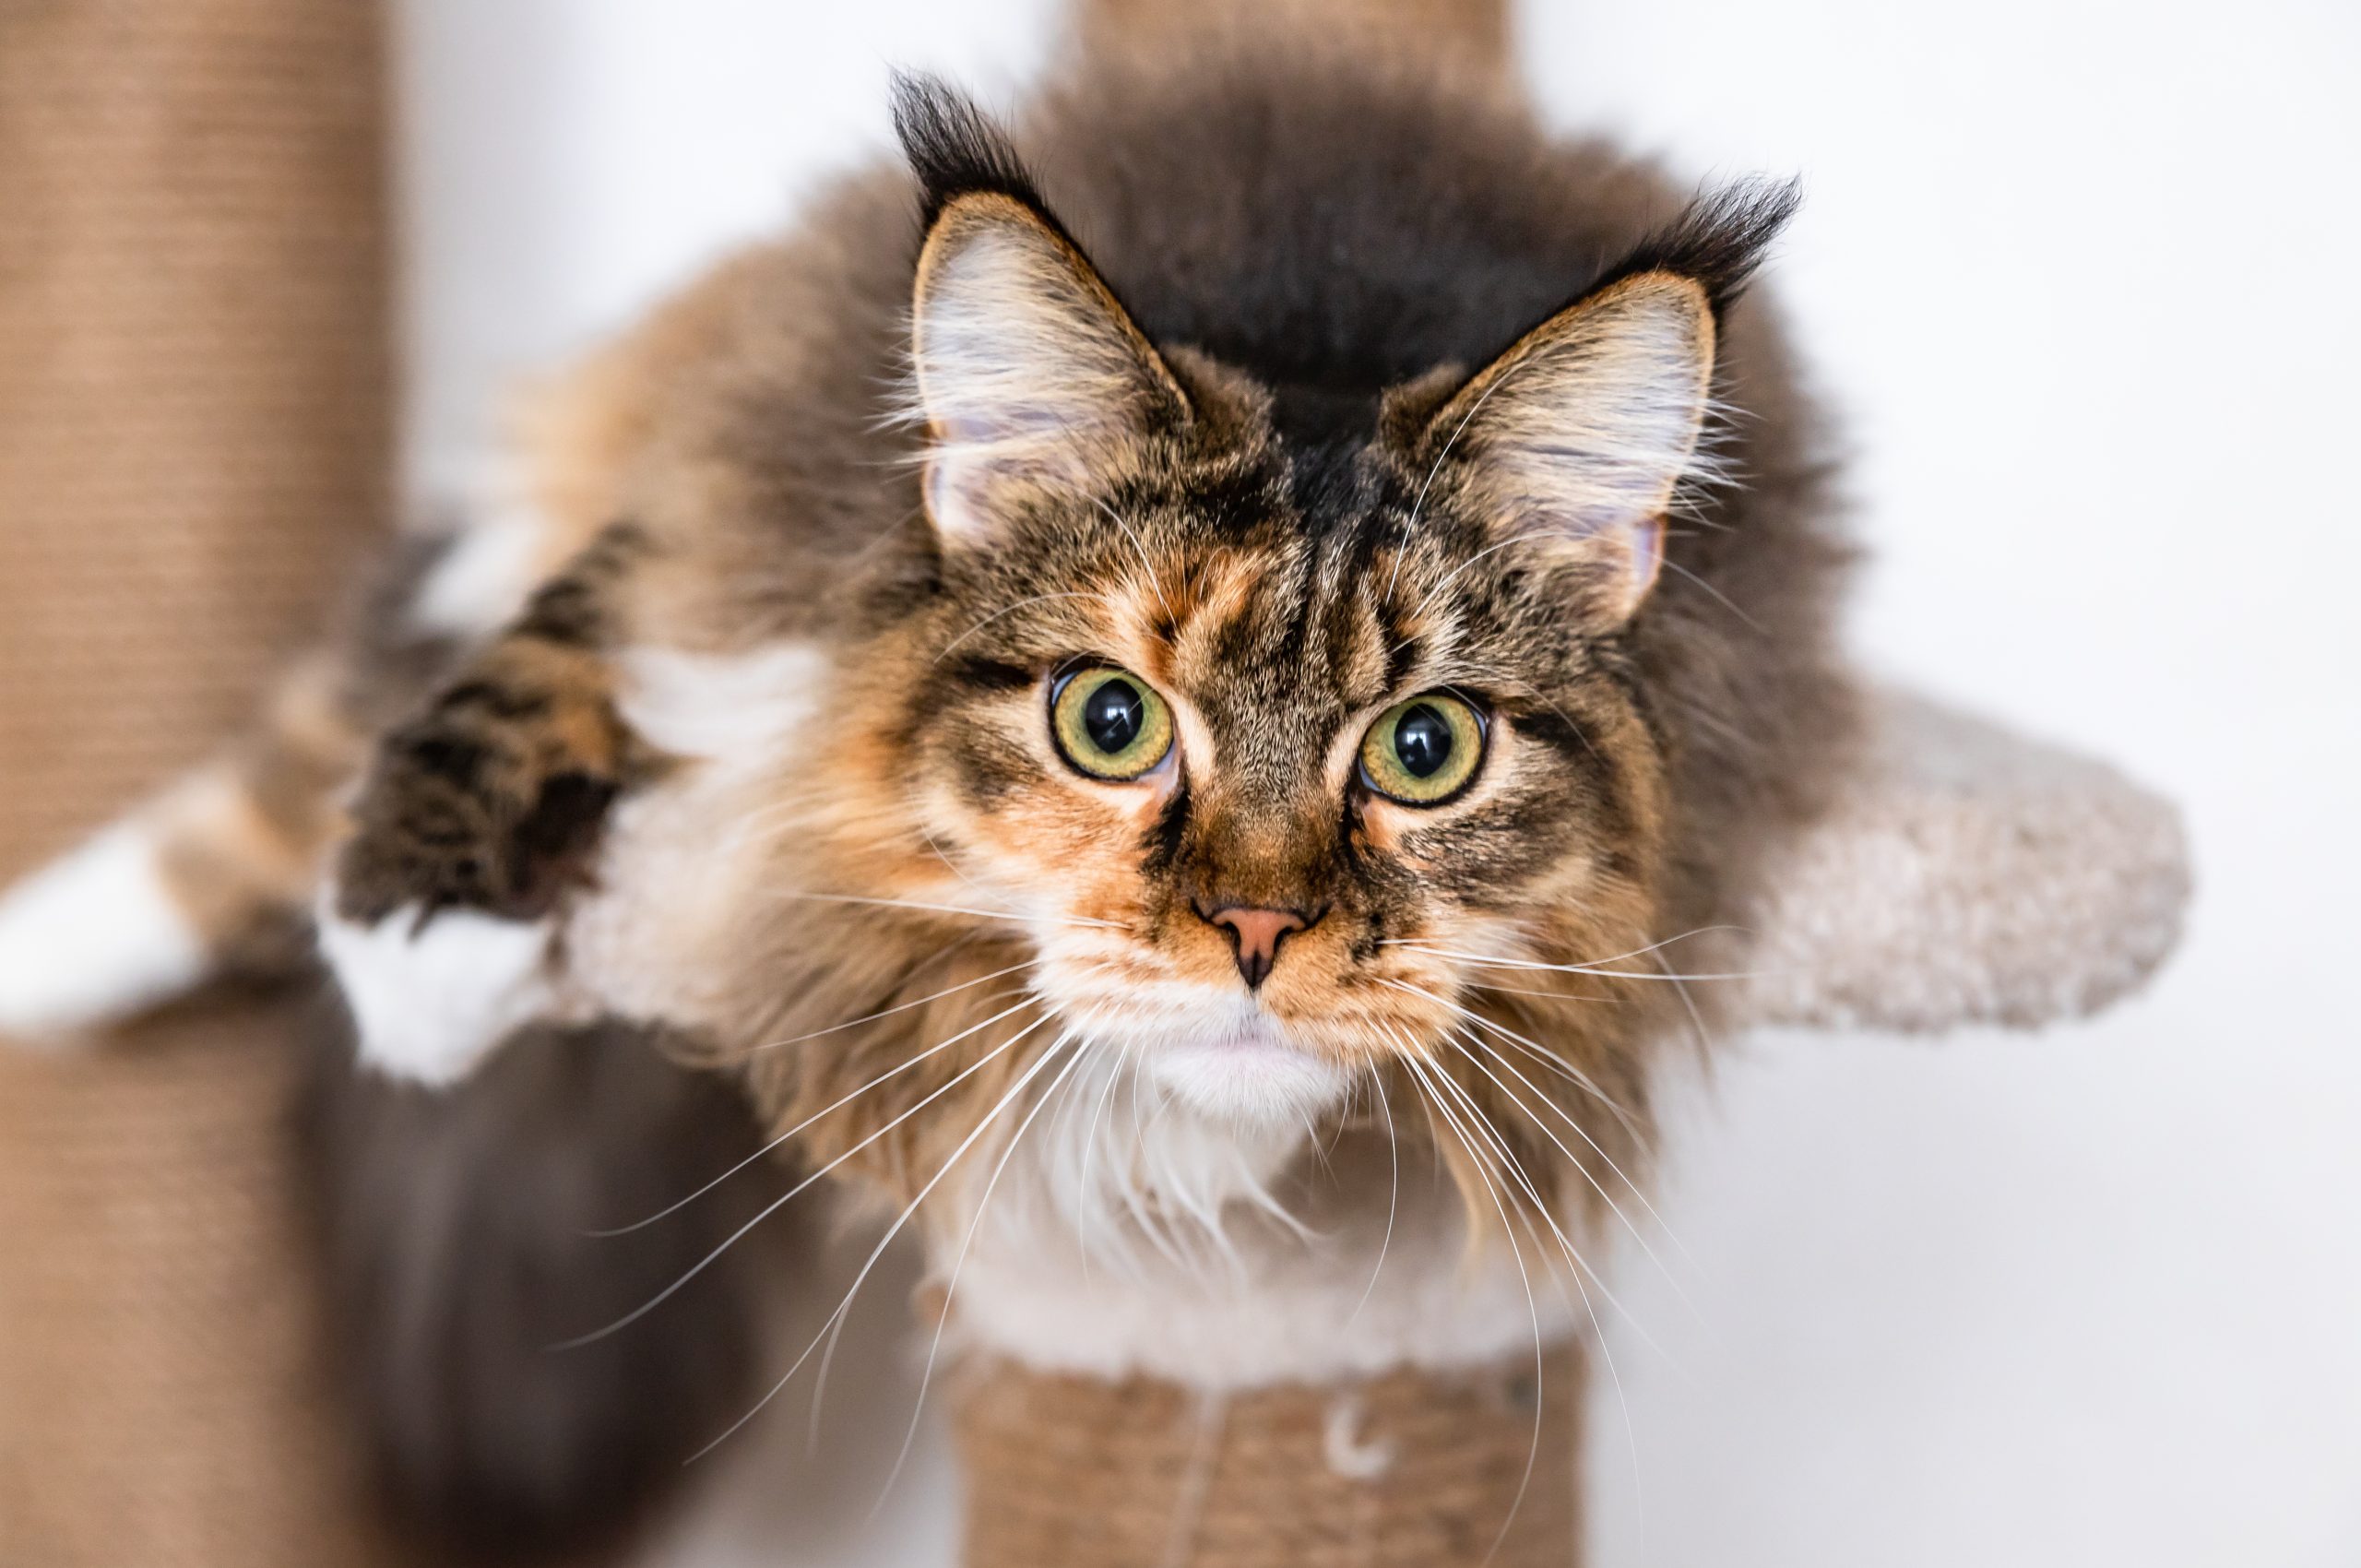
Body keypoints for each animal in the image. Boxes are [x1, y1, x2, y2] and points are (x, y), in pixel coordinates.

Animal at [0, 8, 1841, 1558]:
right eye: (1110, 722)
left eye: (1425, 749)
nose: (1255, 936)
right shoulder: (714, 546)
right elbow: (517, 677)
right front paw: (423, 956)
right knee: (319, 735)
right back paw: (54, 955)